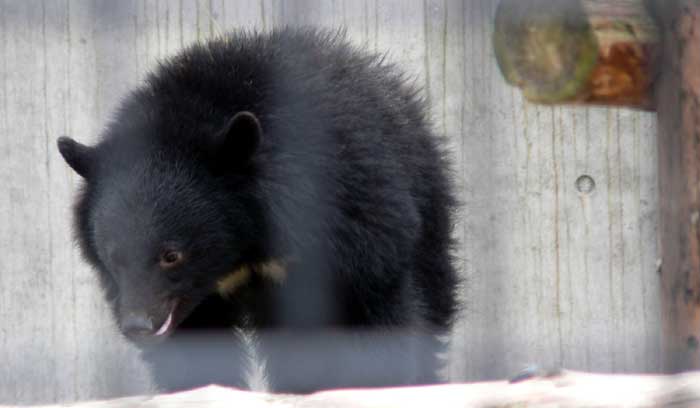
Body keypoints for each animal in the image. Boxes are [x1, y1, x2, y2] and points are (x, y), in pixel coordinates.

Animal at [56, 27, 460, 392]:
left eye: (172, 255)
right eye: (114, 257)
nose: (138, 325)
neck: (246, 240)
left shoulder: (356, 223)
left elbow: (370, 316)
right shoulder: (196, 301)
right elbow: (193, 346)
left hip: (426, 207)